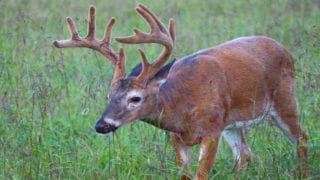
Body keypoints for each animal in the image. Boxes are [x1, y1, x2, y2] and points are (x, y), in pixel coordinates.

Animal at [53, 3, 308, 179]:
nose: (101, 125)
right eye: (109, 96)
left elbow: (200, 175)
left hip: (285, 100)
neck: (182, 109)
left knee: (301, 138)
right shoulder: (177, 137)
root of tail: (283, 47)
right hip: (231, 122)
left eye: (135, 98)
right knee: (244, 154)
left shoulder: (211, 131)